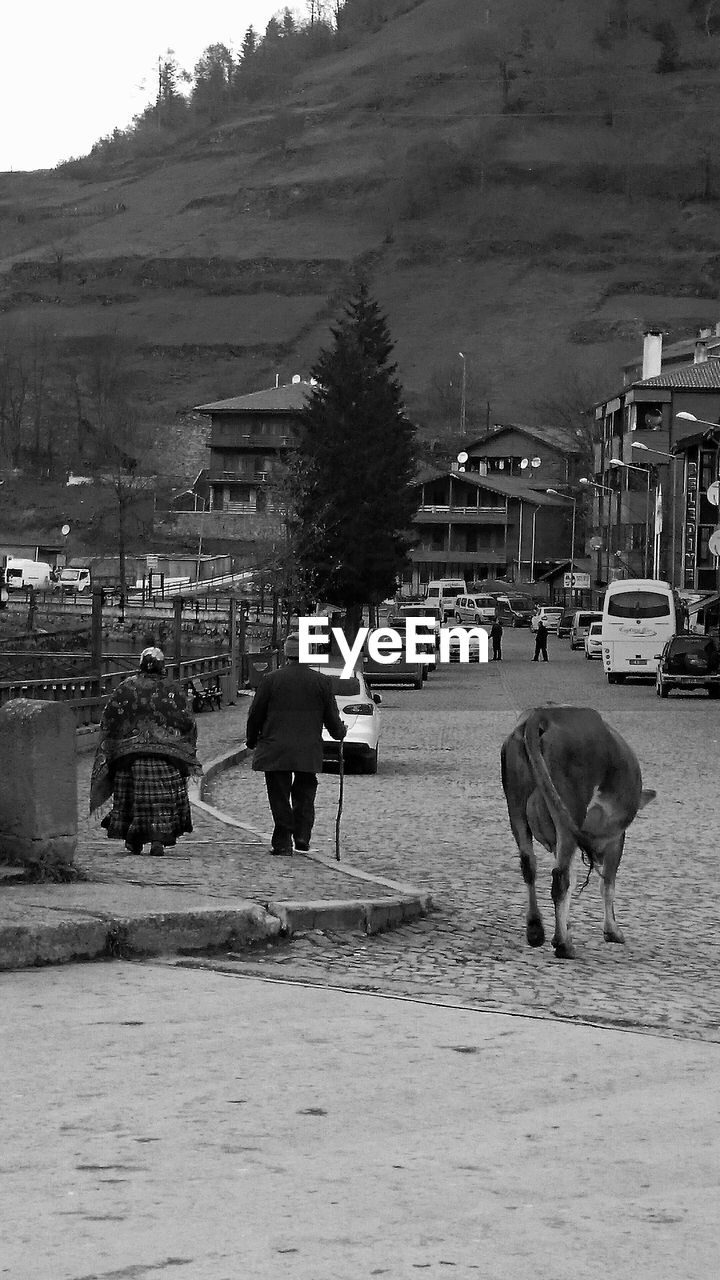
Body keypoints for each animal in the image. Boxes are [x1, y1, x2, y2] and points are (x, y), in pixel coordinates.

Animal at [497, 701, 653, 962]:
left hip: (517, 806)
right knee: (560, 878)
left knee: (530, 866)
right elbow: (607, 882)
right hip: (570, 811)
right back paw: (563, 945)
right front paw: (612, 931)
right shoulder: (615, 837)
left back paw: (536, 930)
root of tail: (543, 714)